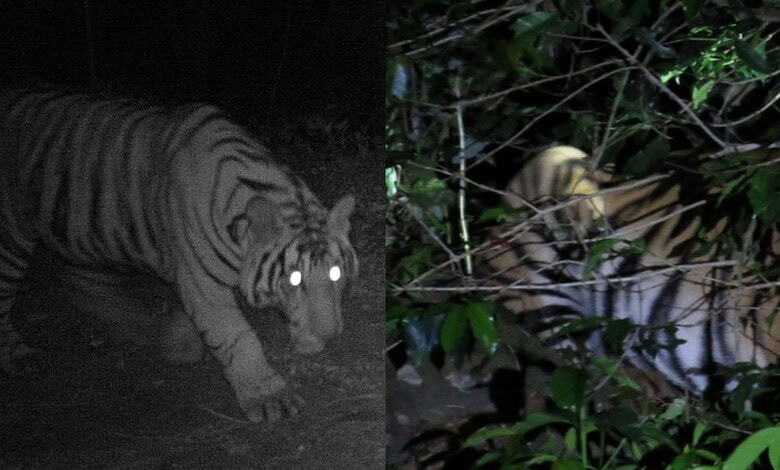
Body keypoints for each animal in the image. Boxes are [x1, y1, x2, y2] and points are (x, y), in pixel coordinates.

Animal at [0, 87, 358, 423]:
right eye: (294, 279)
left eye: (336, 273)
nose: (331, 336)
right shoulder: (203, 286)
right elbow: (238, 337)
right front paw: (269, 397)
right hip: (12, 236)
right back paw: (20, 356)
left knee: (84, 283)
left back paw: (153, 330)